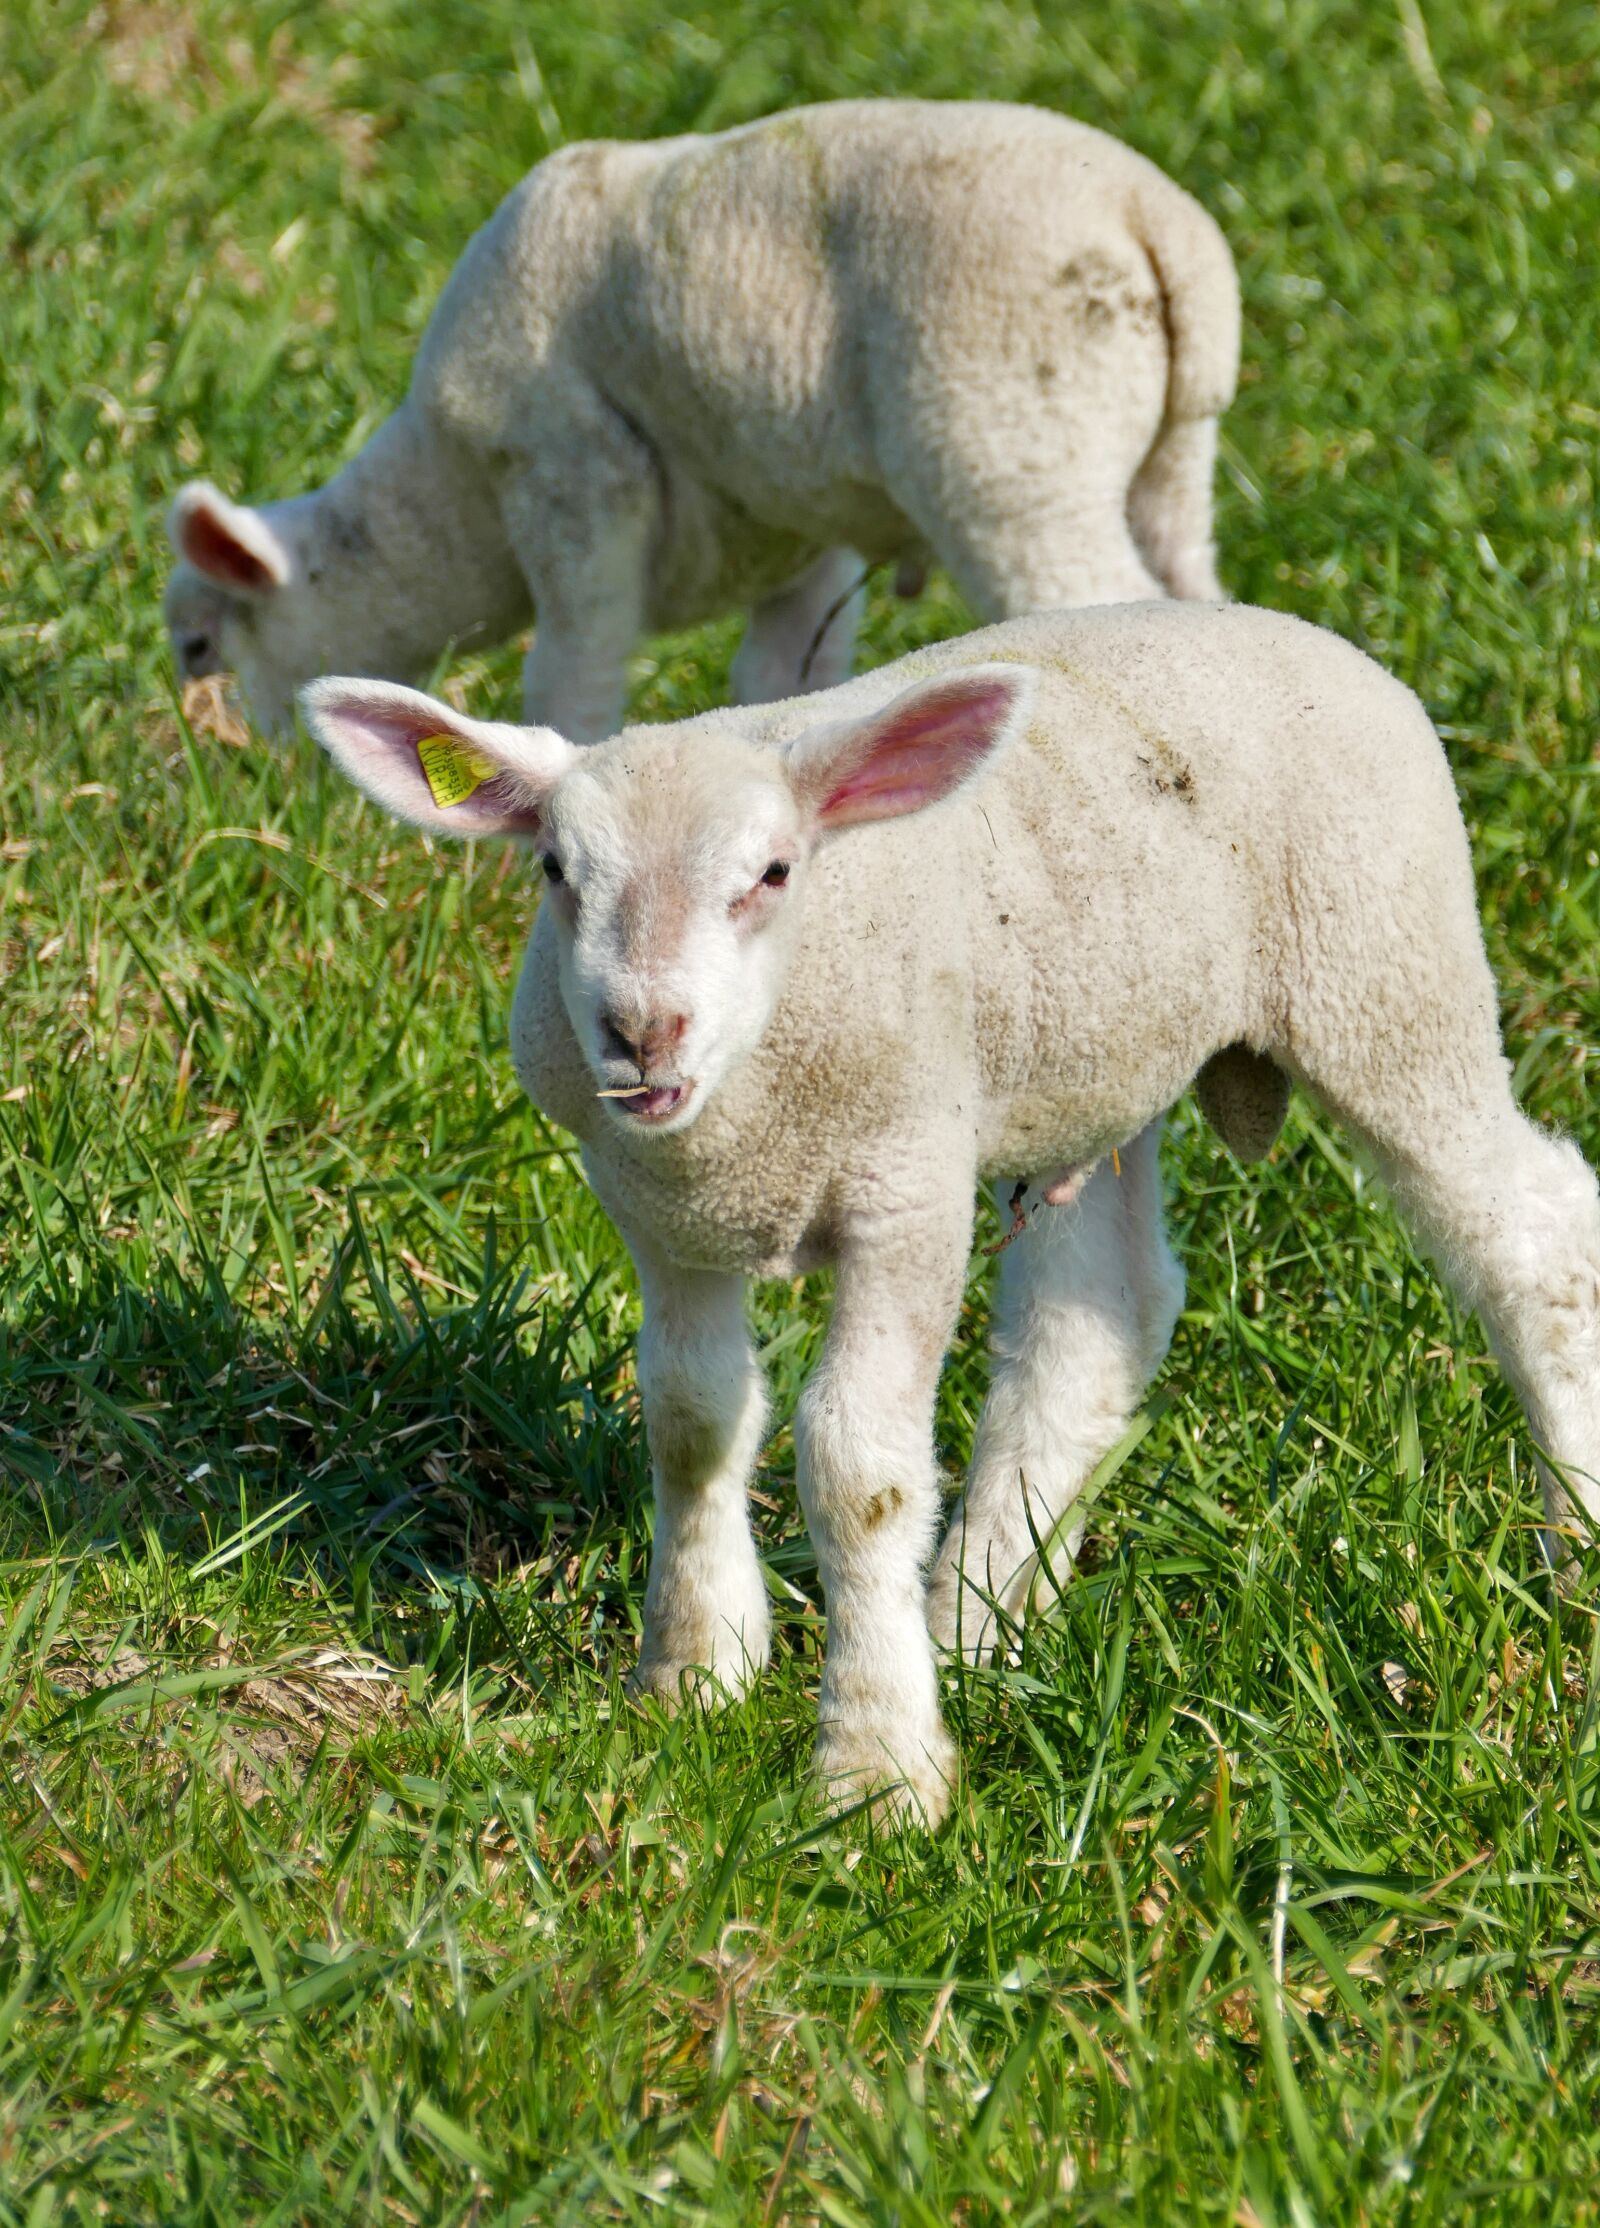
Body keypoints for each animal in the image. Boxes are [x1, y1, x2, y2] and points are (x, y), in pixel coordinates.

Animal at [166, 98, 1239, 740]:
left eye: (198, 648)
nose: (237, 767)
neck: (447, 505)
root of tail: (1154, 220)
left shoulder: (569, 473)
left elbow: (573, 670)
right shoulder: (800, 524)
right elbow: (782, 670)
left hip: (1011, 449)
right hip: (1171, 460)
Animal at [301, 599, 1600, 1827]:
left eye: (772, 874)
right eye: (554, 873)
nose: (641, 1031)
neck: (742, 1113)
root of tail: (1291, 629)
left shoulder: (905, 1185)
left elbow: (857, 1465)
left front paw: (875, 1766)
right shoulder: (658, 1210)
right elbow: (689, 1415)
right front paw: (697, 1666)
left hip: (1386, 976)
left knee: (1535, 1243)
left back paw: (1574, 1555)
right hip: (1098, 1055)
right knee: (1099, 1318)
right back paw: (979, 1617)